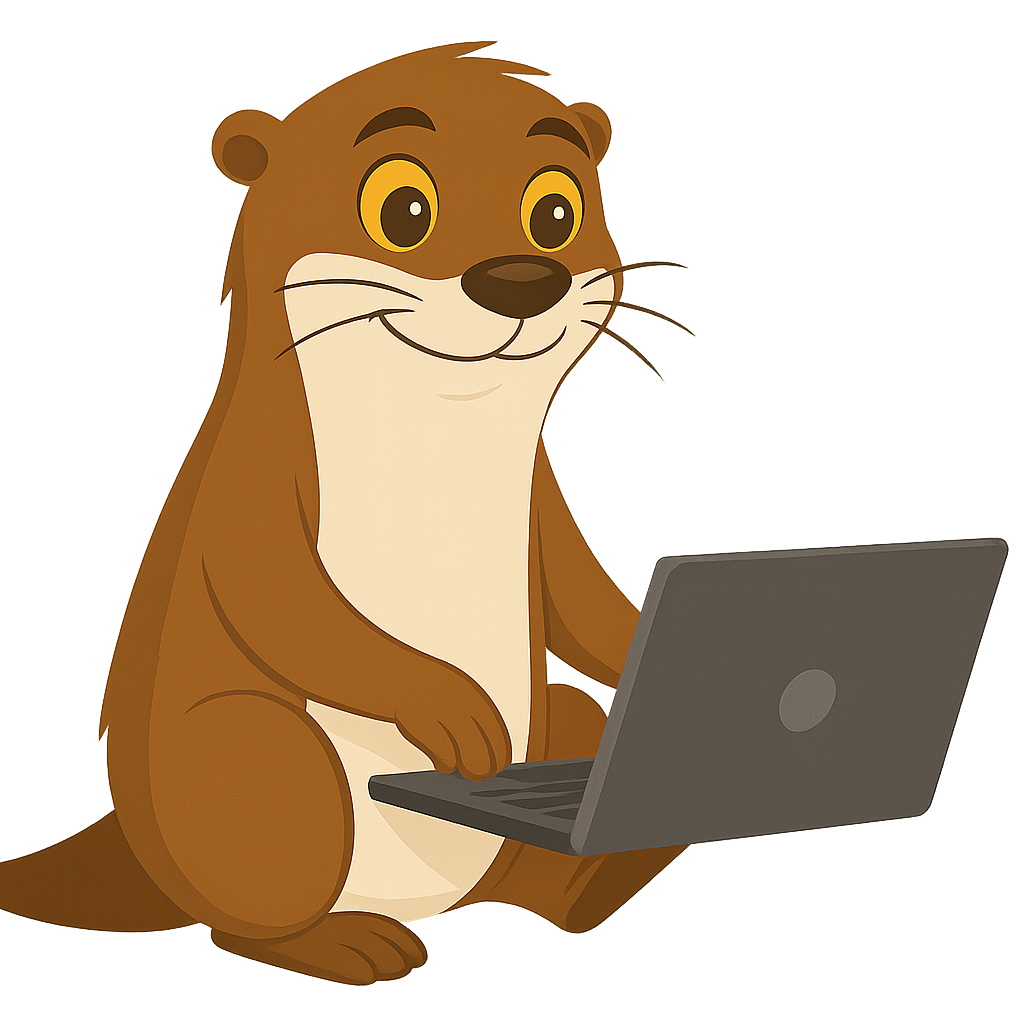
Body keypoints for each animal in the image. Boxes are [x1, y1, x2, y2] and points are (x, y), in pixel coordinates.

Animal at [0, 41, 686, 985]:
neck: (433, 437)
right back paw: (342, 942)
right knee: (248, 893)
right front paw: (451, 706)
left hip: (554, 738)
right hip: (249, 761)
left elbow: (585, 601)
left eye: (555, 211)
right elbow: (288, 608)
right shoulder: (254, 479)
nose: (523, 279)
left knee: (569, 739)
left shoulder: (544, 497)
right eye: (403, 209)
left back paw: (590, 888)